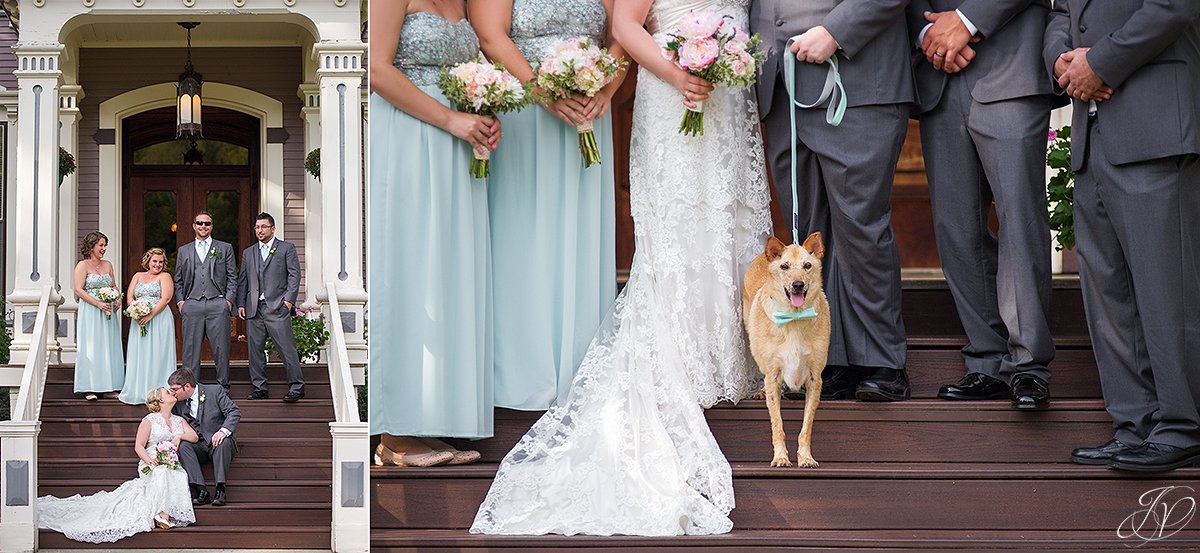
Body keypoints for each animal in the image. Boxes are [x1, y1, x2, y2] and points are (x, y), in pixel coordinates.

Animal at [734, 231, 830, 465]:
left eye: (807, 265)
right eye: (784, 266)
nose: (797, 285)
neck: (794, 317)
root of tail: (763, 255)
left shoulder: (815, 378)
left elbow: (806, 427)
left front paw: (805, 457)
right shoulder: (773, 376)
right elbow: (777, 424)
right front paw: (780, 458)